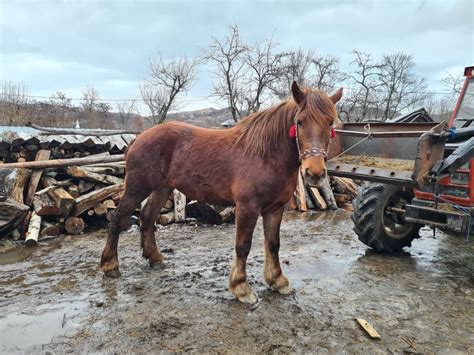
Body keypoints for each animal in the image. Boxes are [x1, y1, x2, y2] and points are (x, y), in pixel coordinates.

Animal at [102, 82, 342, 304]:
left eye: (330, 122)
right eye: (299, 122)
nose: (315, 173)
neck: (266, 154)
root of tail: (138, 138)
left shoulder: (275, 209)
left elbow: (273, 244)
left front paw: (278, 281)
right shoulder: (247, 207)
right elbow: (243, 246)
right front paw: (241, 288)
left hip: (163, 188)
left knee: (147, 217)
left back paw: (154, 258)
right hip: (137, 187)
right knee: (117, 219)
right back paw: (110, 265)